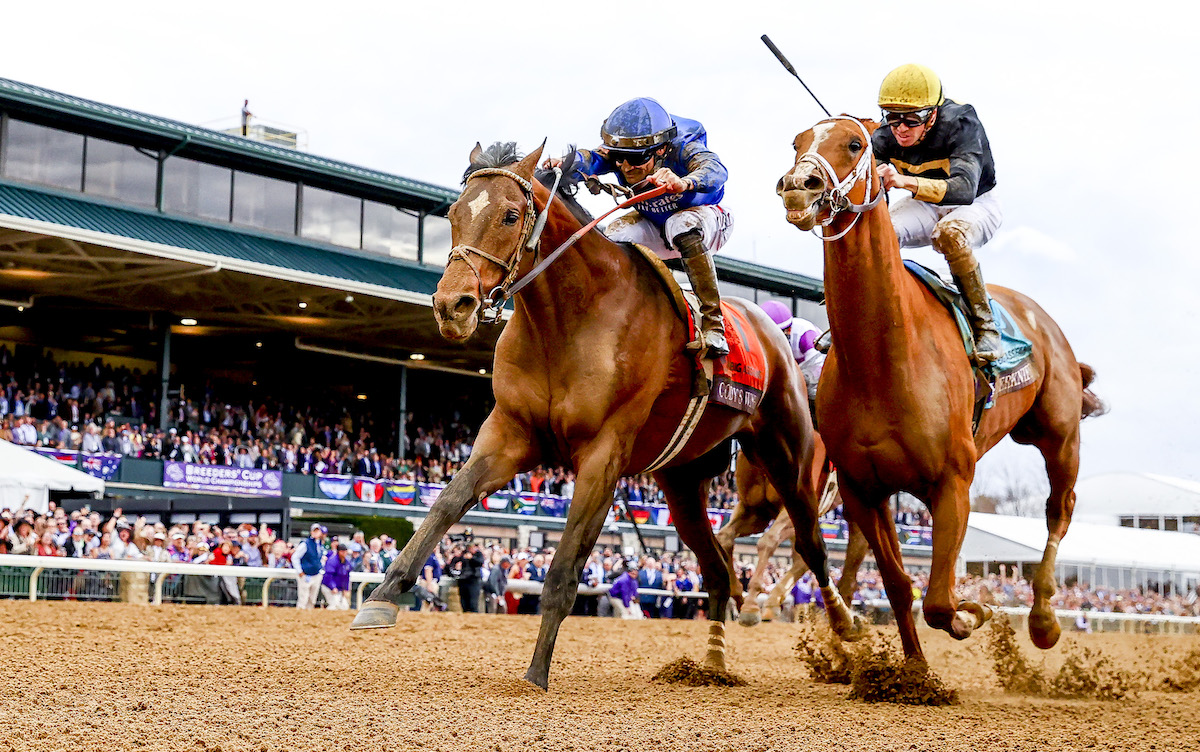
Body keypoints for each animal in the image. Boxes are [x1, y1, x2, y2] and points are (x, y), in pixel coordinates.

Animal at [350, 141, 859, 690]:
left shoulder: (603, 454)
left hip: (787, 458)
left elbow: (563, 568)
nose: (452, 306)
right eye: (453, 214)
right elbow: (445, 505)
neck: (570, 320)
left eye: (510, 215)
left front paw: (536, 673)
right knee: (719, 567)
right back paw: (714, 663)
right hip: (683, 483)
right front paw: (381, 598)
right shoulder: (510, 434)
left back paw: (844, 629)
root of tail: (774, 334)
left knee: (810, 545)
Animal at [777, 114, 1104, 662]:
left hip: (1059, 437)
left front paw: (975, 612)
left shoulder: (952, 481)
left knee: (1059, 509)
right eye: (797, 142)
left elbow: (937, 600)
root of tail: (1042, 319)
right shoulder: (862, 488)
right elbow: (898, 584)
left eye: (855, 143)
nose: (799, 186)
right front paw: (912, 671)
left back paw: (1042, 620)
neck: (884, 358)